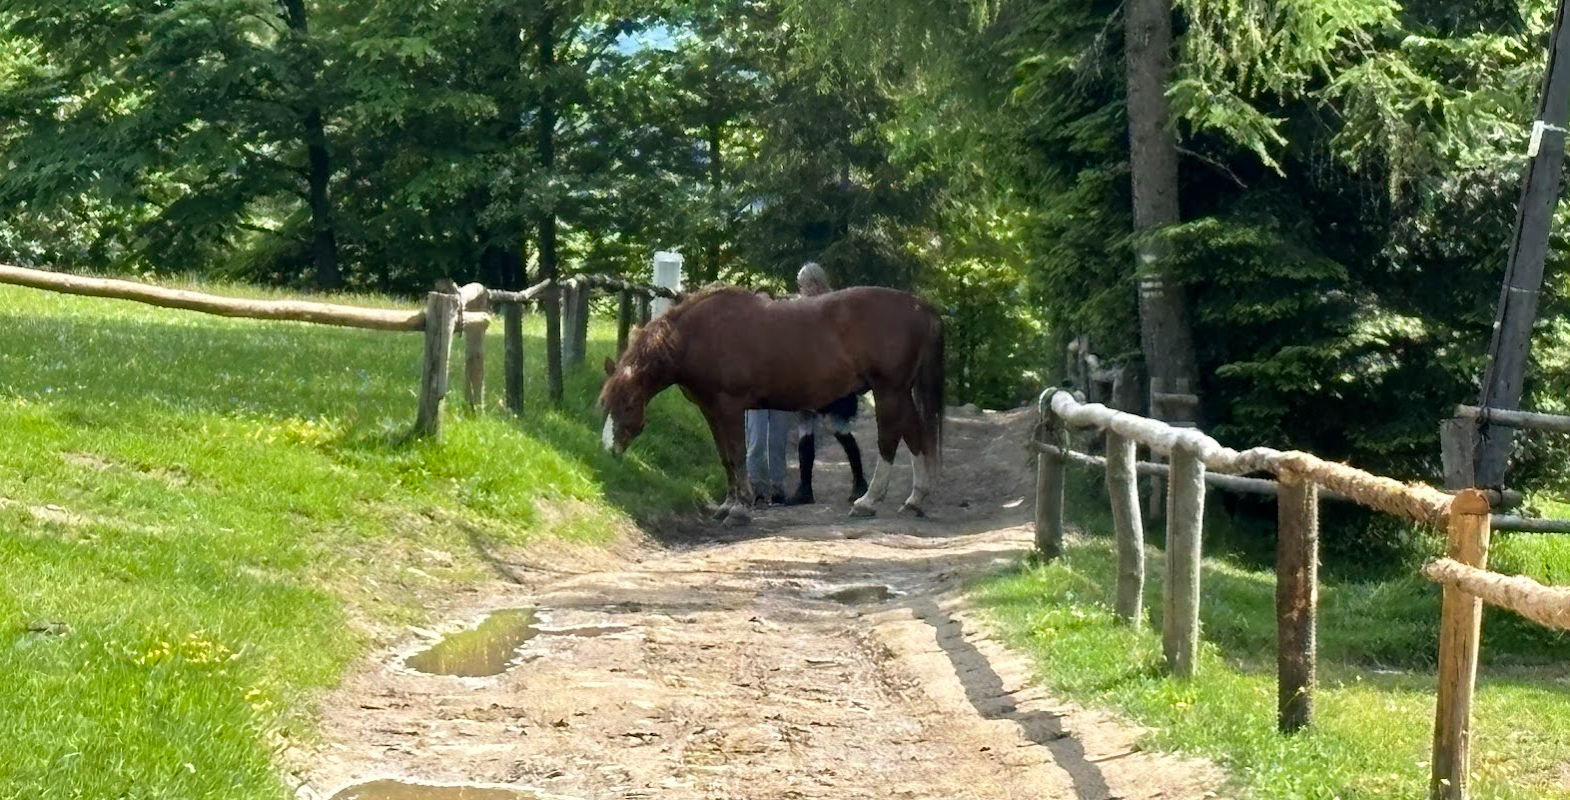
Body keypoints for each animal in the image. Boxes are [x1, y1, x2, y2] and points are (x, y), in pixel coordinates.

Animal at [599, 285, 942, 523]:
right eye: (605, 404)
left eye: (628, 405)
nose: (607, 450)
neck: (697, 337)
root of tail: (920, 305)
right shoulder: (711, 410)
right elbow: (725, 456)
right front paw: (728, 504)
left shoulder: (729, 407)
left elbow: (737, 454)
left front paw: (740, 509)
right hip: (900, 393)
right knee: (914, 435)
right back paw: (914, 500)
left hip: (889, 392)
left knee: (890, 440)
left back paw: (868, 502)